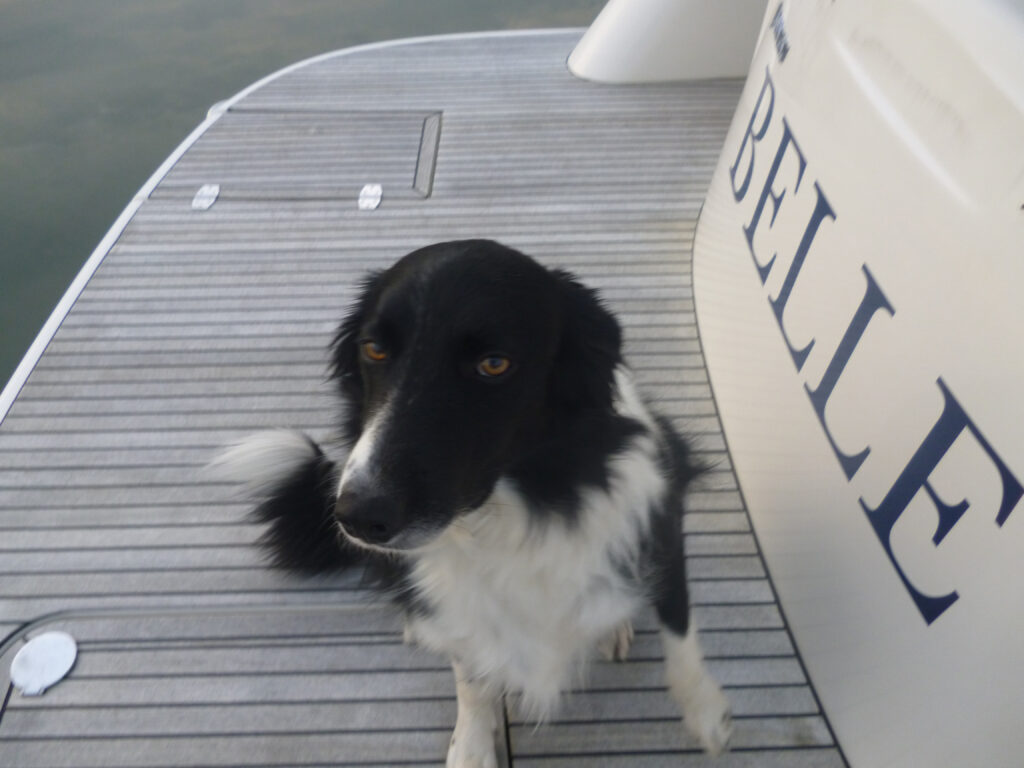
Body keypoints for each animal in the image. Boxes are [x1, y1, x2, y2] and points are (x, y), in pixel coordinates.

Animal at [211, 239, 733, 765]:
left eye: (494, 364)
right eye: (374, 349)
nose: (359, 517)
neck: (512, 514)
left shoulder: (660, 521)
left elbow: (679, 626)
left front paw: (705, 711)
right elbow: (472, 681)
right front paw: (472, 746)